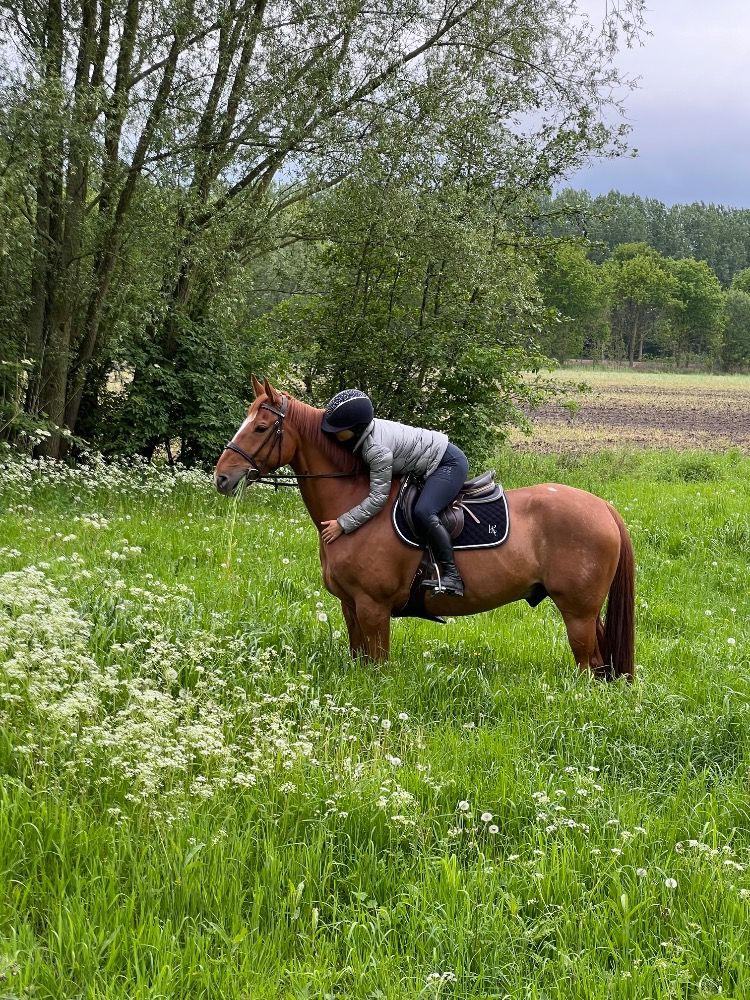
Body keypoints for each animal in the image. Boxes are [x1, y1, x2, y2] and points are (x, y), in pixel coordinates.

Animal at [214, 377, 635, 680]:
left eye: (261, 427)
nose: (222, 478)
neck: (352, 501)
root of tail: (603, 507)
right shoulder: (350, 606)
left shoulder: (373, 607)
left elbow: (377, 666)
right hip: (586, 613)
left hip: (577, 613)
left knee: (589, 666)